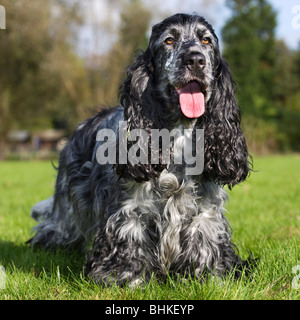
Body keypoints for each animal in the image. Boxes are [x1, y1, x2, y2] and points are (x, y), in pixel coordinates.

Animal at [28, 13, 253, 286]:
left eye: (206, 40)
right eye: (169, 40)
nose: (195, 60)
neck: (178, 137)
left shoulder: (206, 213)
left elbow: (206, 245)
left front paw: (213, 277)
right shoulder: (130, 211)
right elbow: (129, 243)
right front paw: (127, 278)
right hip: (67, 206)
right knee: (59, 226)